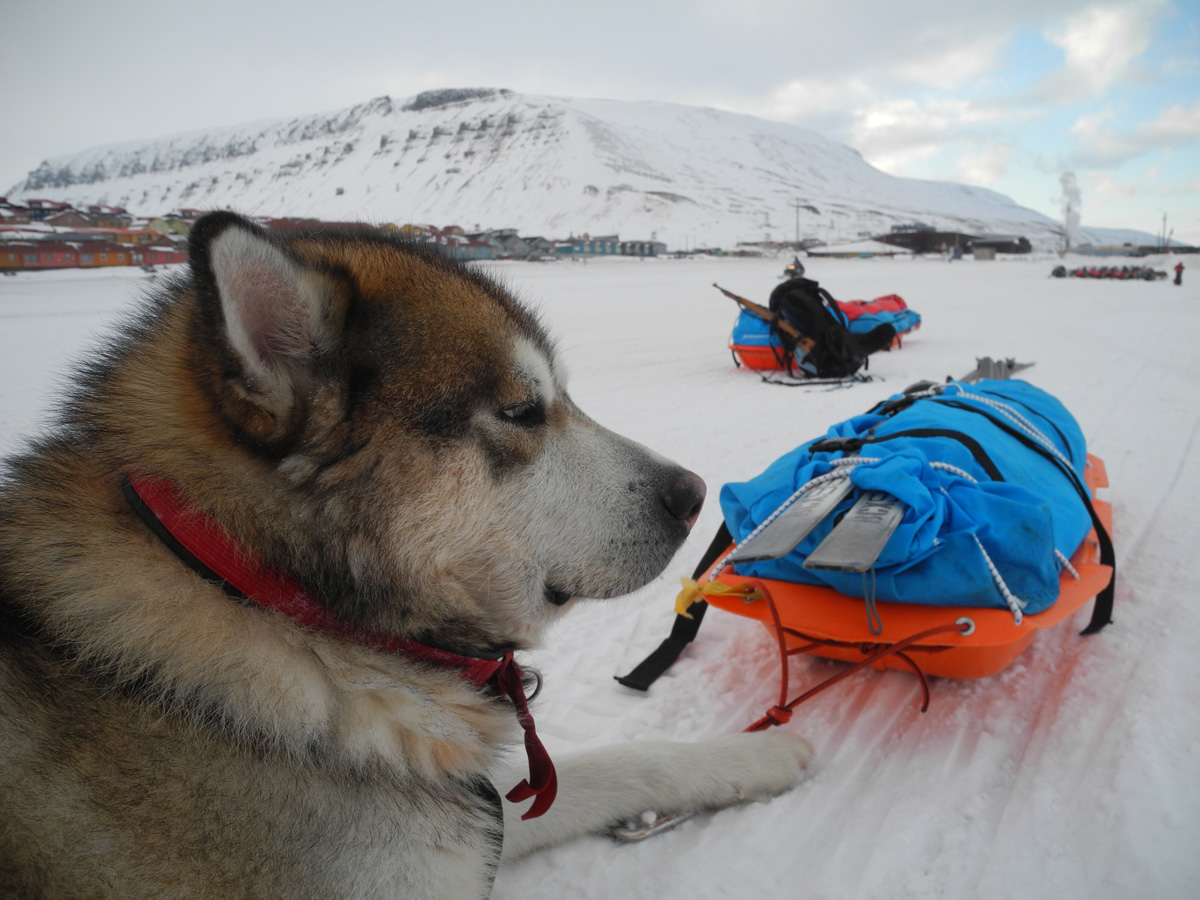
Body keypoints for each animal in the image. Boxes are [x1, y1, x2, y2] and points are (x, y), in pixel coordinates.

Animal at [2, 213, 816, 900]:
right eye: (522, 410)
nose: (694, 493)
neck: (264, 593)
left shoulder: (468, 816)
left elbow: (623, 761)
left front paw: (759, 759)